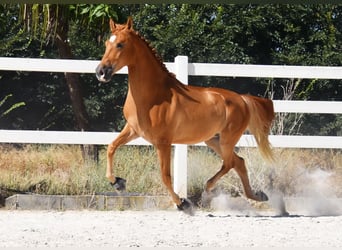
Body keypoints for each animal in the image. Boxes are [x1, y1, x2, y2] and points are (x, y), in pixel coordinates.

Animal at [95, 17, 276, 214]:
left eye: (120, 44)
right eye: (106, 44)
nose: (101, 72)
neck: (154, 96)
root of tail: (242, 99)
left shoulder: (163, 142)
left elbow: (165, 176)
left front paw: (183, 203)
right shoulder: (133, 130)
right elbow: (111, 147)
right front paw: (118, 183)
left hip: (227, 139)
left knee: (229, 163)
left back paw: (208, 189)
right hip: (213, 140)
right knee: (239, 162)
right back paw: (258, 195)